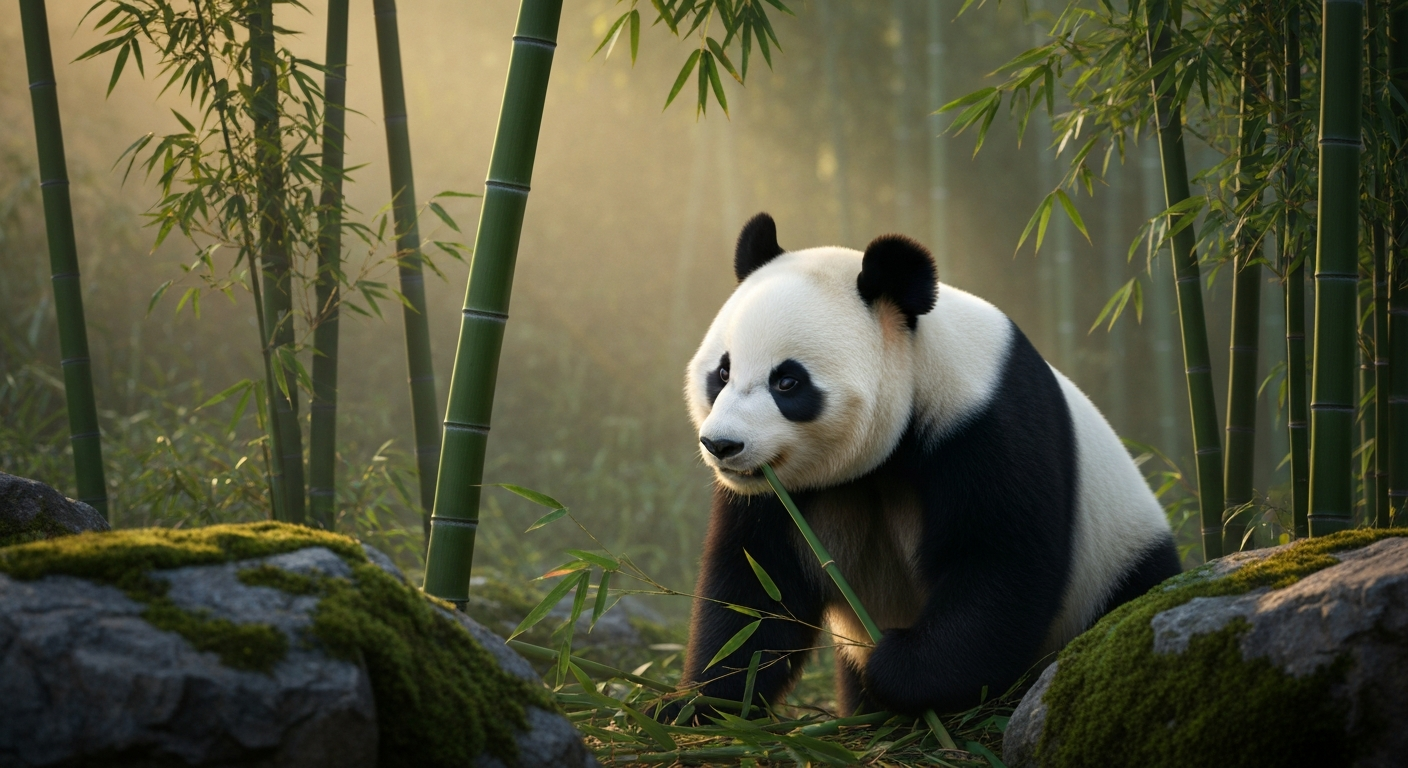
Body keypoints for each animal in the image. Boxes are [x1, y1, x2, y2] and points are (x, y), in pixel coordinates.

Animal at [679, 213, 1180, 717]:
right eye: (722, 372)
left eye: (787, 381)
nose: (722, 445)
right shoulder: (779, 497)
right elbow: (755, 596)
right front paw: (698, 705)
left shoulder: (984, 426)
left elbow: (998, 566)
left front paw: (899, 666)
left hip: (1119, 567)